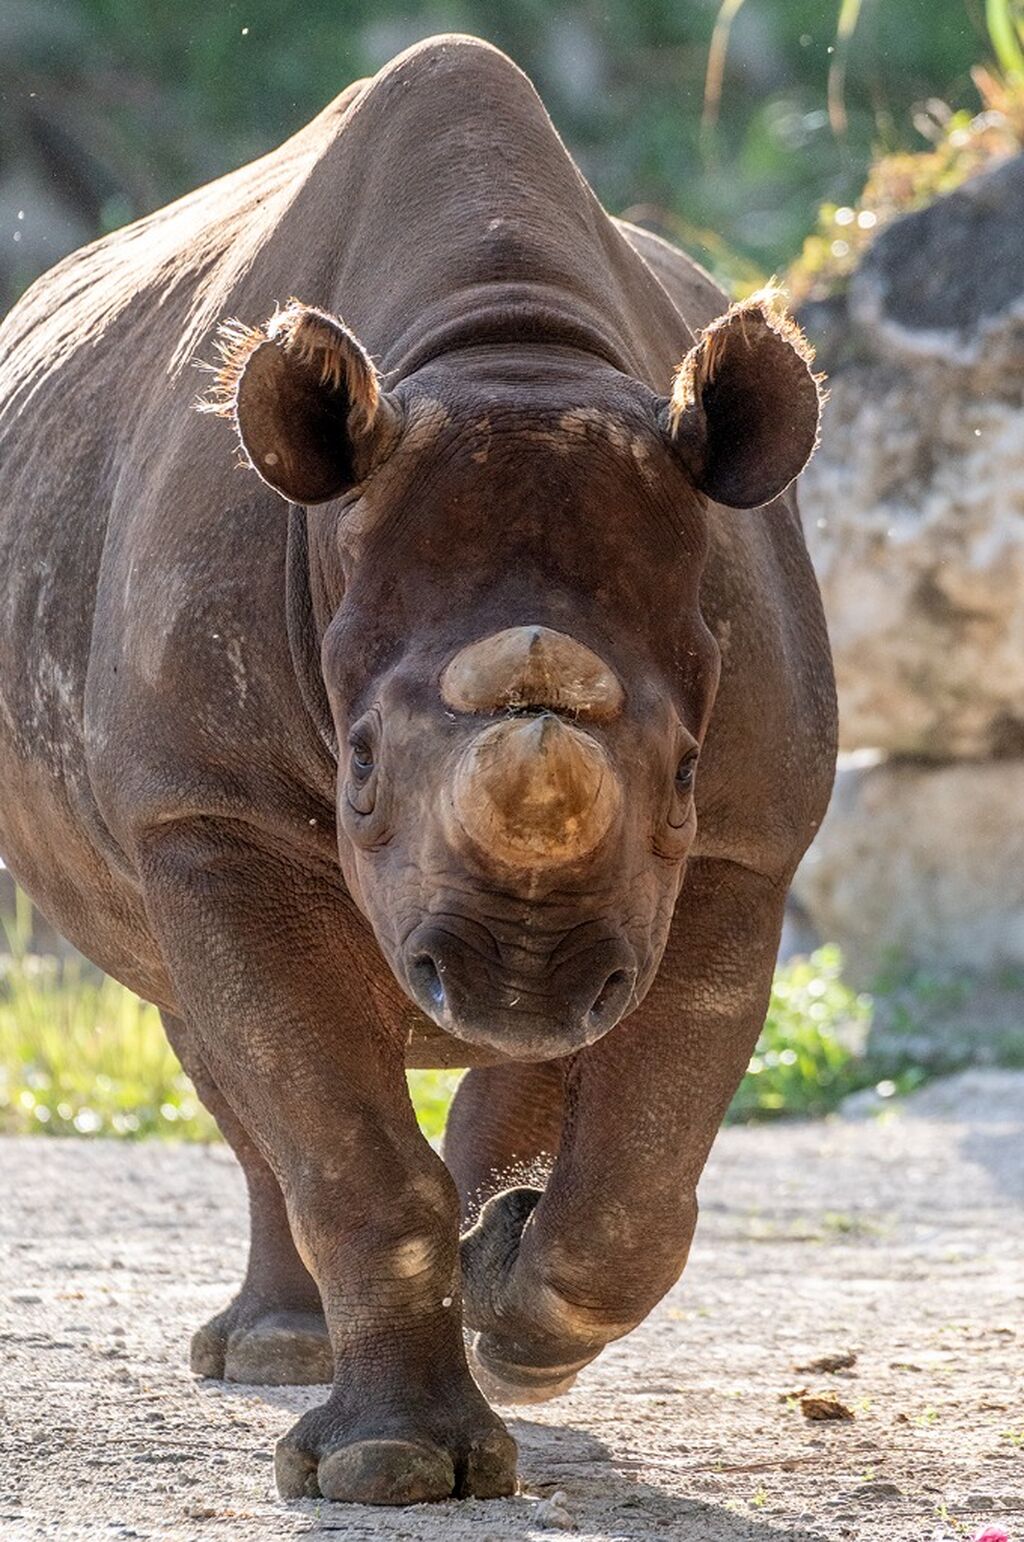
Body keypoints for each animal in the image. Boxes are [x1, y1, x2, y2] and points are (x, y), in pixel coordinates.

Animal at [0, 35, 835, 1505]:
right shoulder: (209, 810)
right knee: (215, 1038)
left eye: (685, 769)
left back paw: (481, 1261)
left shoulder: (744, 838)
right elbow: (339, 1144)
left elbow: (639, 1174)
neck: (506, 356)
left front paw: (512, 1294)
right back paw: (274, 1353)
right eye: (362, 770)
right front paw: (386, 1467)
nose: (519, 981)